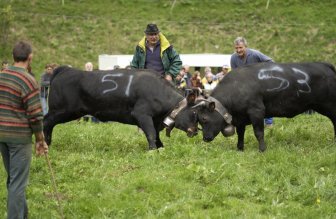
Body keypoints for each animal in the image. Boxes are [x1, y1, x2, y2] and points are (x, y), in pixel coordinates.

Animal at [43, 66, 198, 150]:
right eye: (194, 113)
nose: (196, 131)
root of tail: (65, 69)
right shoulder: (141, 114)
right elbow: (151, 134)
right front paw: (152, 150)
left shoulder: (155, 120)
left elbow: (156, 136)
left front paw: (160, 148)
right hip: (63, 110)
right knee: (46, 121)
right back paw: (46, 144)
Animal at [188, 61, 334, 151]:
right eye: (199, 120)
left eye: (204, 118)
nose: (205, 138)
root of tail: (324, 64)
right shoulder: (240, 117)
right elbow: (241, 133)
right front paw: (239, 148)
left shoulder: (257, 111)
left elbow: (259, 132)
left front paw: (262, 149)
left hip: (329, 105)